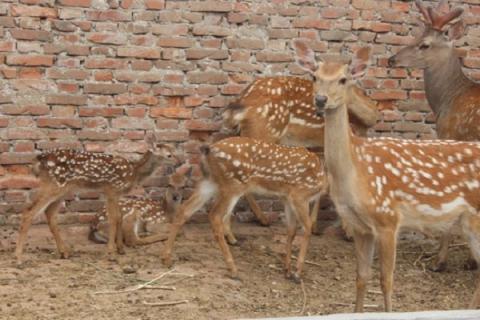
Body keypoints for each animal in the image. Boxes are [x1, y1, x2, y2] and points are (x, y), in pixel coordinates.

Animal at [16, 134, 180, 264]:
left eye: (174, 151)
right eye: (169, 155)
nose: (179, 162)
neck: (133, 173)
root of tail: (37, 160)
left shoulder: (116, 194)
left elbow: (119, 217)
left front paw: (120, 249)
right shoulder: (111, 189)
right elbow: (113, 219)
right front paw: (111, 253)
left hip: (63, 188)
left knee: (49, 213)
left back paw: (65, 252)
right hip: (54, 184)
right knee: (29, 211)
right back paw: (19, 257)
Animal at [161, 136, 326, 282]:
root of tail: (209, 150)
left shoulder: (287, 198)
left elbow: (291, 231)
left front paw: (288, 270)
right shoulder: (300, 195)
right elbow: (307, 228)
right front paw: (297, 273)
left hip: (209, 182)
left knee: (184, 210)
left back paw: (167, 258)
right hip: (234, 184)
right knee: (215, 216)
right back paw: (233, 269)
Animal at [294, 38, 480, 312]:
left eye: (343, 79)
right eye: (314, 76)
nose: (320, 99)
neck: (355, 172)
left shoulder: (388, 219)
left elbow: (386, 281)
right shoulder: (361, 226)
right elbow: (361, 277)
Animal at [386, 0, 480, 272]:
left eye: (425, 44)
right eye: (416, 35)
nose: (391, 59)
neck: (445, 101)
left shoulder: (450, 138)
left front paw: (440, 261)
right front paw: (470, 261)